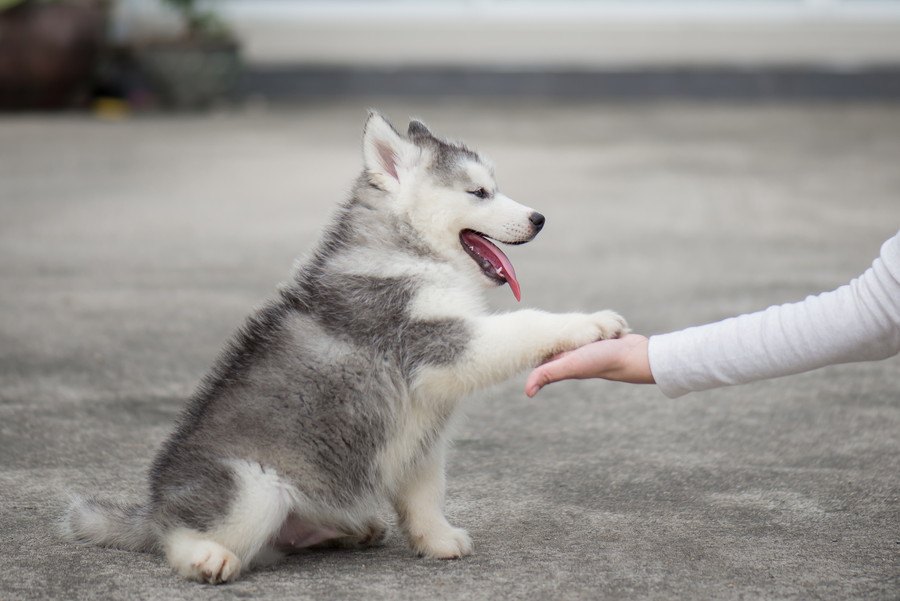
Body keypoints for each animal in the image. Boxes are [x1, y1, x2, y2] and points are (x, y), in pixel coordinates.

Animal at [63, 111, 628, 580]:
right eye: (480, 192)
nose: (539, 219)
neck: (410, 250)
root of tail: (154, 506)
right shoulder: (436, 341)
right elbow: (524, 325)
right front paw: (591, 323)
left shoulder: (422, 433)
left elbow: (425, 493)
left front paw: (437, 539)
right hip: (253, 489)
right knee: (181, 537)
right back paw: (205, 557)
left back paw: (352, 530)